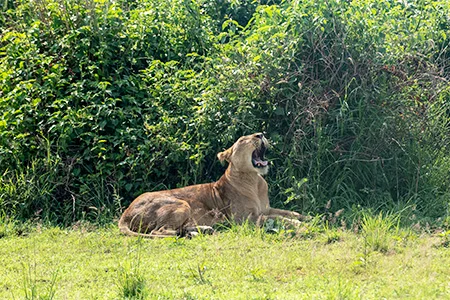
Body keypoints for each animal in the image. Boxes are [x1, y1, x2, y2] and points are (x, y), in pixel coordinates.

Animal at [118, 132, 308, 238]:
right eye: (241, 140)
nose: (260, 134)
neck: (254, 180)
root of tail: (125, 214)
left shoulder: (265, 209)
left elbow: (288, 212)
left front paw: (308, 217)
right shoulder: (246, 219)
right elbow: (277, 218)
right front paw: (301, 225)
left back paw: (201, 230)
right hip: (181, 204)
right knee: (160, 231)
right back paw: (190, 235)